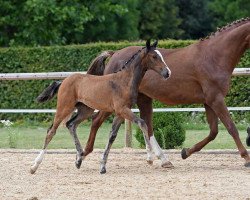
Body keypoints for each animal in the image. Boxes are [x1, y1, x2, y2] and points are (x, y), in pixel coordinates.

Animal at [28, 40, 170, 173]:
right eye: (154, 56)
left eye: (160, 56)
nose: (167, 73)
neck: (124, 81)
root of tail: (63, 81)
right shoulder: (123, 110)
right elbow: (142, 123)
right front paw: (150, 158)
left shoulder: (120, 113)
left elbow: (112, 135)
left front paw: (102, 166)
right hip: (64, 107)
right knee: (51, 131)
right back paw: (34, 166)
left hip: (85, 110)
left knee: (71, 124)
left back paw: (79, 158)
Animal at [83, 17, 250, 167]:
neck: (214, 56)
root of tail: (114, 54)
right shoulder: (216, 99)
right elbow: (231, 128)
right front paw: (246, 158)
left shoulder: (209, 102)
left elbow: (213, 132)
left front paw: (185, 152)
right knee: (97, 120)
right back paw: (84, 154)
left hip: (143, 99)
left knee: (147, 125)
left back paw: (161, 159)